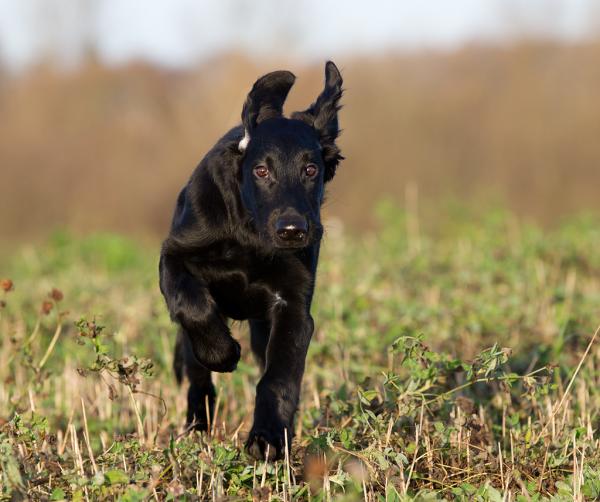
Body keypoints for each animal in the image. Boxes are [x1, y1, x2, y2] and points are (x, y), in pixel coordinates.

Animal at [158, 60, 342, 460]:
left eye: (311, 169)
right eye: (261, 170)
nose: (292, 231)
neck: (250, 233)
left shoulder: (292, 305)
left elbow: (278, 377)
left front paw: (268, 438)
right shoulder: (174, 257)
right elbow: (194, 308)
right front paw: (223, 353)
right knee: (196, 376)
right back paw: (197, 426)